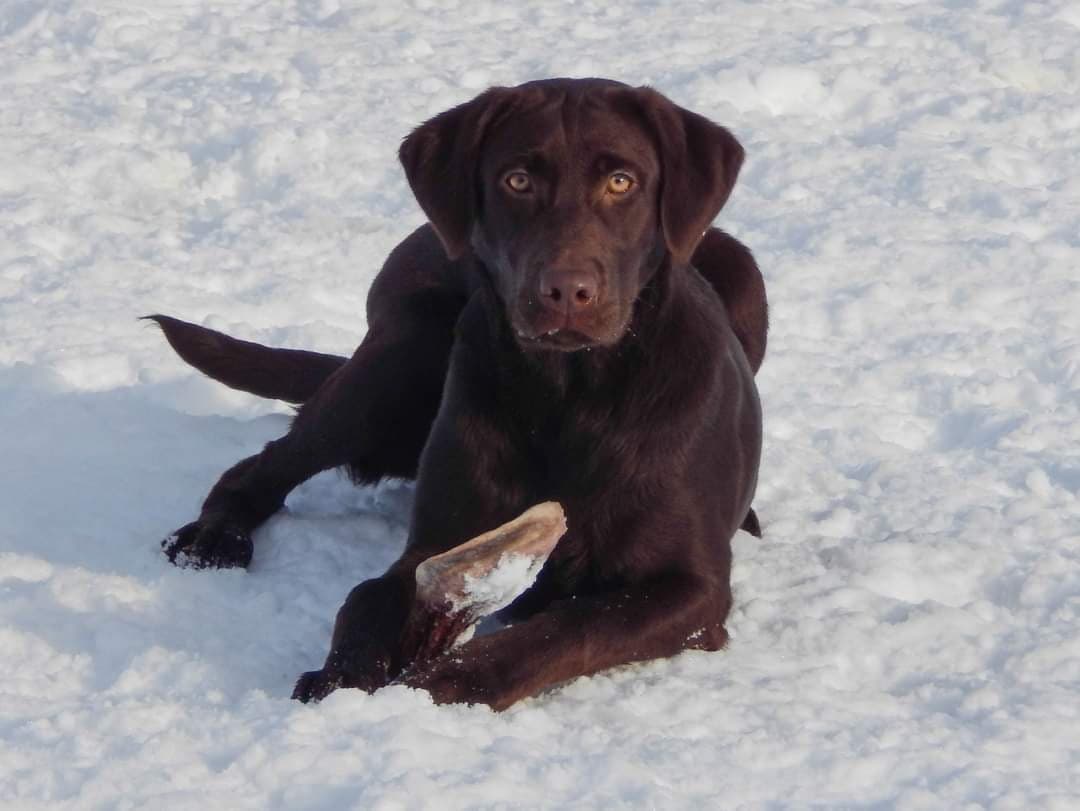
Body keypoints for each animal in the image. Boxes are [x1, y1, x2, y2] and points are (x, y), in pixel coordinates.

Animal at [156, 77, 773, 708]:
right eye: (517, 180)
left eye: (621, 181)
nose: (566, 292)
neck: (570, 396)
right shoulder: (435, 544)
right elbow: (364, 599)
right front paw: (343, 680)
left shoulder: (690, 587)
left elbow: (565, 629)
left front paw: (440, 683)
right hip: (404, 350)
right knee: (268, 461)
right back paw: (213, 535)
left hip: (742, 272)